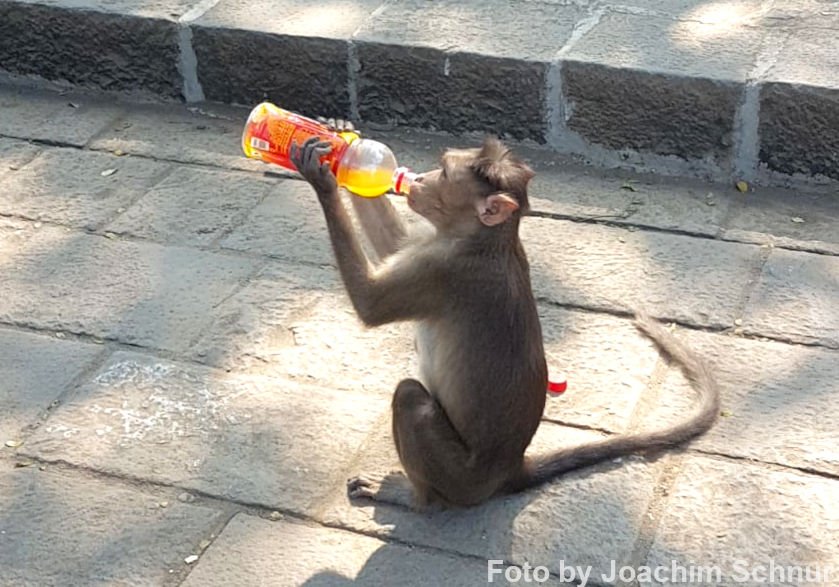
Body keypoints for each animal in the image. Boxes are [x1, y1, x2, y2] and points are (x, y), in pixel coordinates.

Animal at [290, 134, 720, 508]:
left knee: (410, 397)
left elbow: (370, 303)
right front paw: (341, 138)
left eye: (443, 172)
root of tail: (512, 469)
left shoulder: (444, 272)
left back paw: (412, 499)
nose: (419, 179)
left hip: (459, 477)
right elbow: (392, 246)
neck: (485, 240)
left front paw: (323, 177)